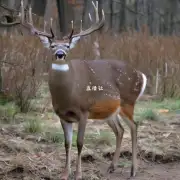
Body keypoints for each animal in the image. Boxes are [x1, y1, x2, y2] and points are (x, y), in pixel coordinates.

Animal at [1, 0, 148, 179]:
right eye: (52, 45)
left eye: (67, 46)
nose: (60, 54)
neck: (68, 97)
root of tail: (140, 74)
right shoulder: (63, 115)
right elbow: (67, 143)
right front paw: (65, 173)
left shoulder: (83, 111)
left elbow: (79, 143)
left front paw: (78, 174)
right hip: (110, 111)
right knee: (120, 130)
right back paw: (111, 167)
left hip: (128, 102)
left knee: (134, 126)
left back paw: (133, 170)